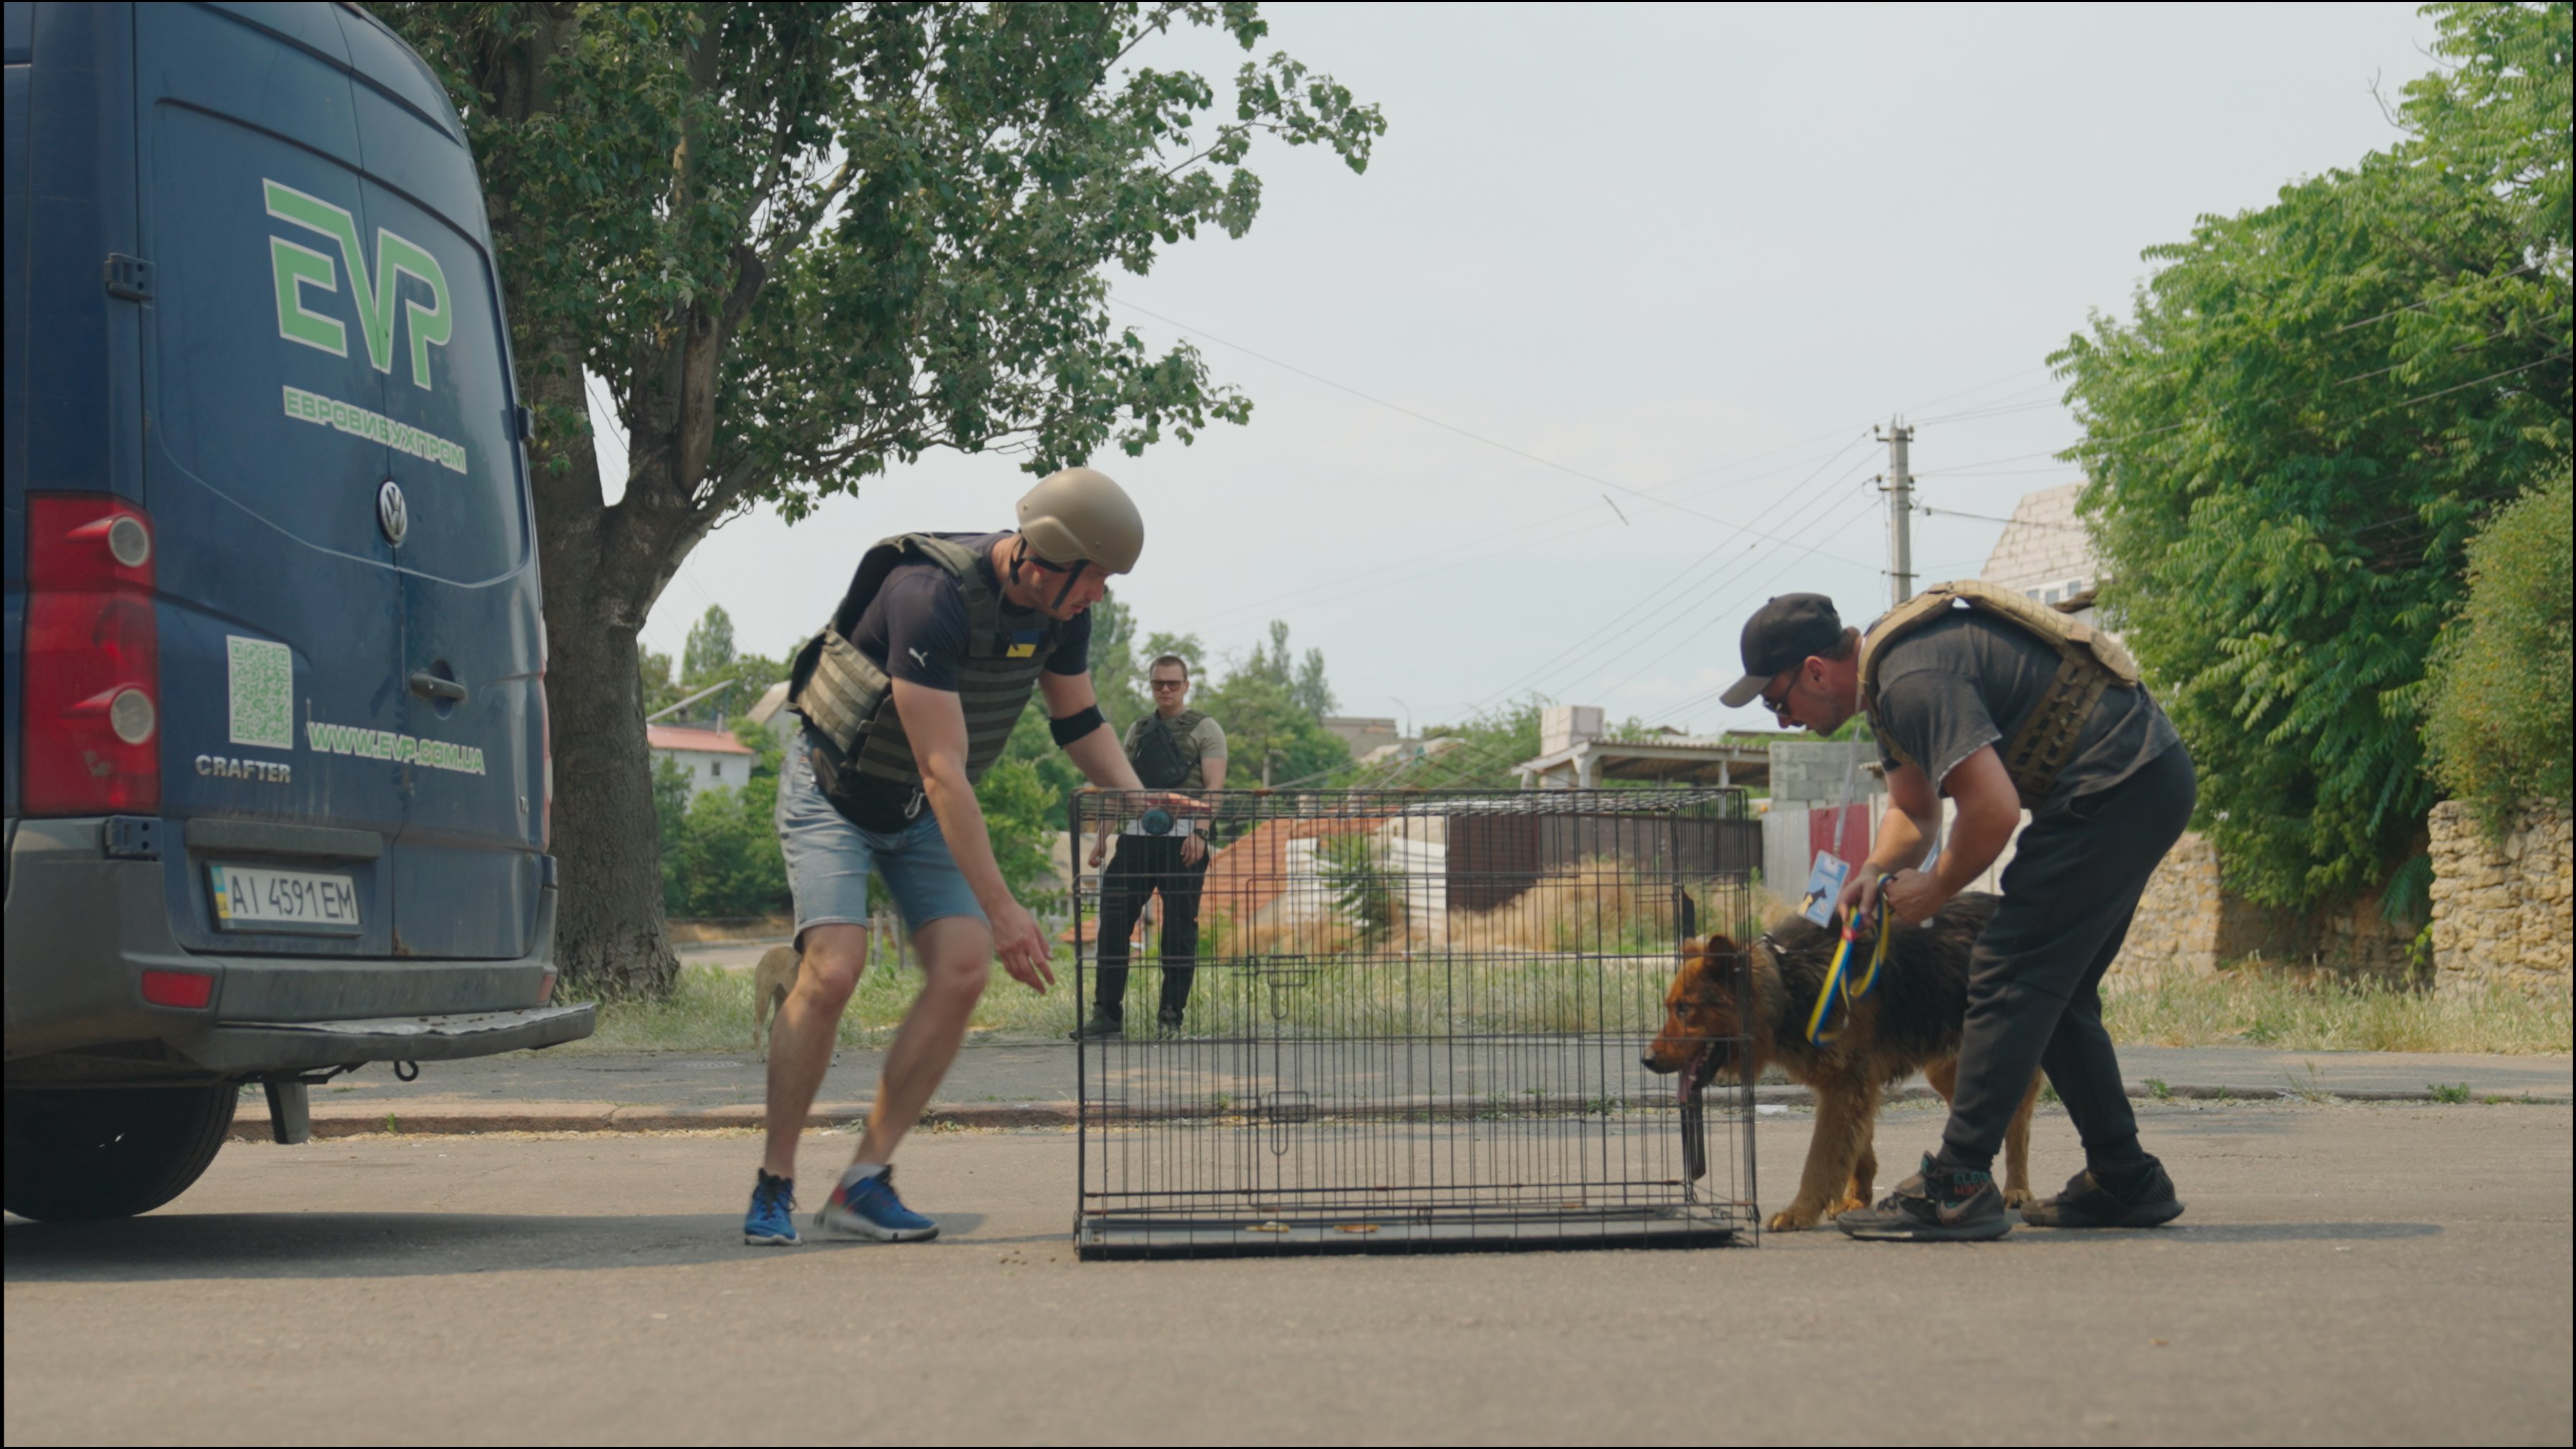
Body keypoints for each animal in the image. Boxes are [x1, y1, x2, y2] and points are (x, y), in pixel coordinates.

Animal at [1648, 892, 2030, 1227]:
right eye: (1669, 1007)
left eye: (1684, 1009)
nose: (1646, 1060)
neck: (1786, 984)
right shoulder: (1855, 1087)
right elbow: (1856, 1146)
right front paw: (1856, 1196)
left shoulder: (1845, 1084)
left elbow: (1821, 1157)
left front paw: (1799, 1213)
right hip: (1949, 1069)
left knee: (2017, 1126)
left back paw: (2017, 1189)